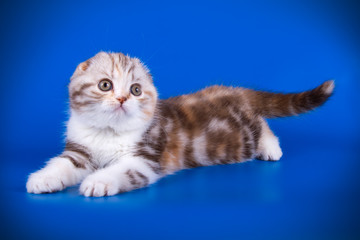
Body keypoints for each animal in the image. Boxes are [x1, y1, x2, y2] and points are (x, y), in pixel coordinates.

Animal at [26, 51, 334, 196]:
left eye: (136, 90)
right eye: (105, 85)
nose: (123, 98)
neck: (109, 133)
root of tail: (233, 90)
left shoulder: (145, 158)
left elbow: (122, 170)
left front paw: (98, 181)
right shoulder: (79, 151)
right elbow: (63, 164)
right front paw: (44, 178)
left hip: (241, 137)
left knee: (262, 123)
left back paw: (271, 148)